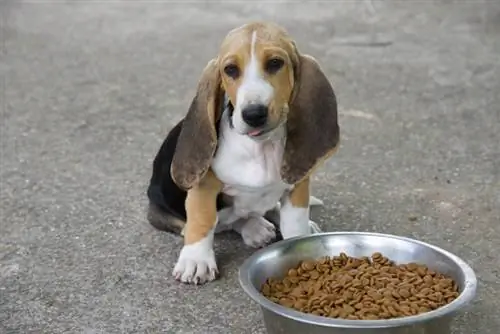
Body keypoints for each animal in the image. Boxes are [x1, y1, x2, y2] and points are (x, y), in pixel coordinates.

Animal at [146, 21, 340, 284]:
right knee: (221, 222)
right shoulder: (204, 187)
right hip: (162, 211)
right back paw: (254, 228)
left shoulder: (298, 186)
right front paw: (196, 261)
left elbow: (295, 223)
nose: (254, 114)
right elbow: (203, 220)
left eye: (275, 63)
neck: (260, 147)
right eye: (230, 70)